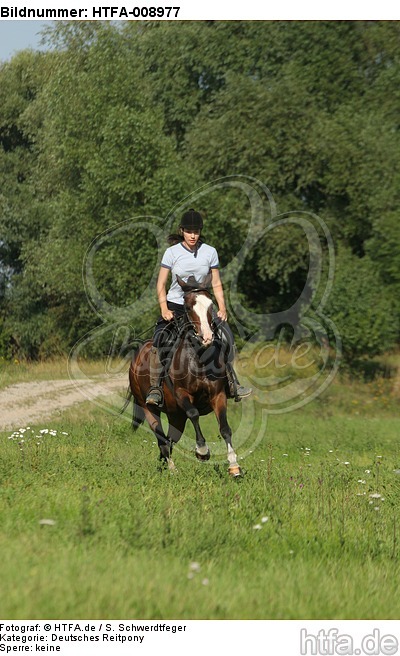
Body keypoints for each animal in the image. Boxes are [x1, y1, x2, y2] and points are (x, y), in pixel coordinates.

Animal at [122, 275, 241, 477]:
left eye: (211, 305)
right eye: (188, 307)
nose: (207, 337)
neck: (198, 357)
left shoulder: (218, 395)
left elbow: (225, 428)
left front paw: (234, 466)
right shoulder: (181, 394)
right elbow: (194, 413)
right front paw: (202, 451)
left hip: (175, 415)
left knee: (170, 439)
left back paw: (164, 467)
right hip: (150, 408)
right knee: (161, 438)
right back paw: (172, 469)